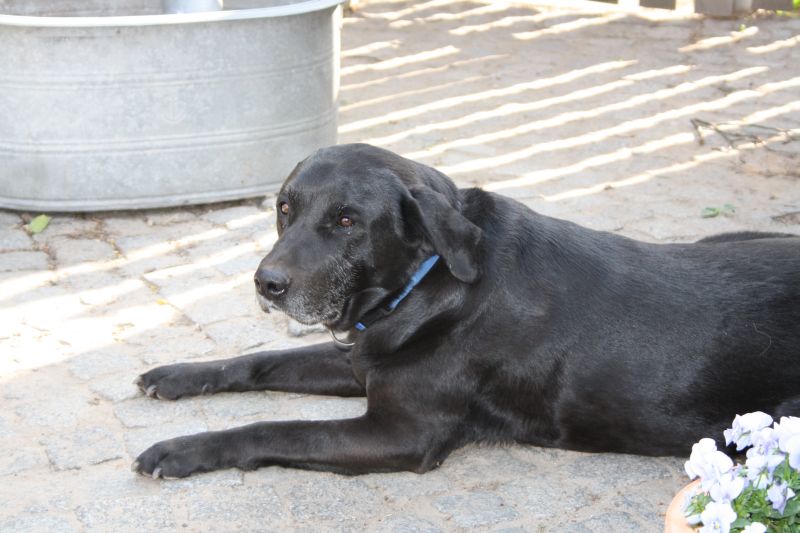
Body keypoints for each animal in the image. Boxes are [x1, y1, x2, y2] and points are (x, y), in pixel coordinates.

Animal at [133, 143, 800, 479]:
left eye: (347, 221)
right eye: (284, 209)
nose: (266, 283)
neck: (430, 284)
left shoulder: (399, 435)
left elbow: (274, 428)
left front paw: (182, 449)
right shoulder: (361, 361)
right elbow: (261, 360)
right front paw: (178, 374)